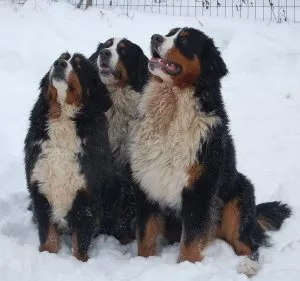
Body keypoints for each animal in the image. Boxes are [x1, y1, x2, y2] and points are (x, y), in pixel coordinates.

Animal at [24, 50, 119, 260]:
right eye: (62, 57)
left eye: (79, 65)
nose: (59, 63)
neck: (63, 119)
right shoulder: (40, 190)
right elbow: (48, 236)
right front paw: (47, 256)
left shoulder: (87, 196)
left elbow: (80, 242)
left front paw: (80, 262)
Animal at [130, 27, 292, 274]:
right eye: (169, 33)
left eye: (184, 40)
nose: (155, 37)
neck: (172, 108)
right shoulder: (148, 184)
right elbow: (146, 236)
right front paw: (144, 263)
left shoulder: (200, 189)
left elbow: (191, 239)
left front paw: (186, 269)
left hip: (237, 203)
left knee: (249, 245)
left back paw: (247, 266)